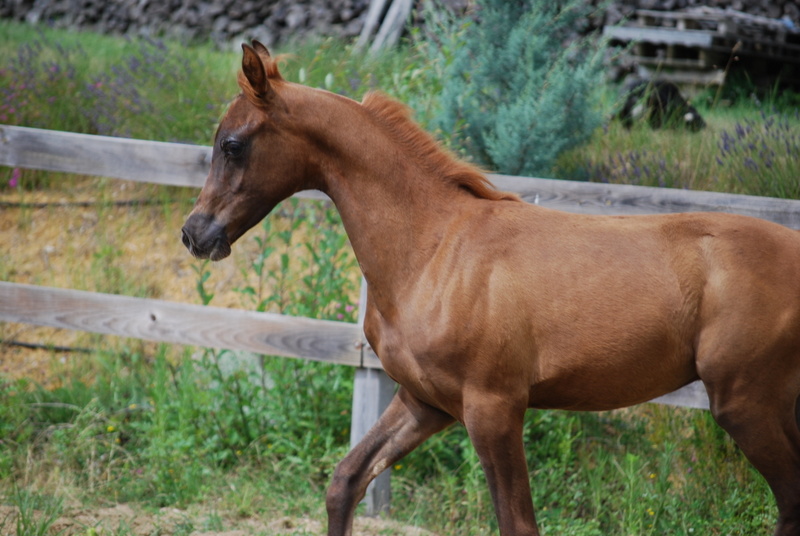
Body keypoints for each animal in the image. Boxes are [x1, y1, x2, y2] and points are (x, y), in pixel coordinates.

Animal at [181, 43, 800, 536]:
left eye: (232, 144)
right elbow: (346, 482)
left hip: (745, 403)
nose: (195, 234)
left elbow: (517, 523)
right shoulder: (425, 402)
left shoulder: (493, 408)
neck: (433, 249)